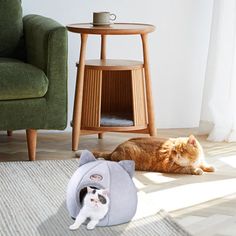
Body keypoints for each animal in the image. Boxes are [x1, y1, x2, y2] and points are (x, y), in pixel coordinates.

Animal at [87, 135, 215, 175]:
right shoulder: (173, 167)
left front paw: (209, 167)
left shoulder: (200, 161)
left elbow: (203, 164)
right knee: (112, 160)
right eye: (174, 151)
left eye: (182, 150)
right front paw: (197, 170)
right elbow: (189, 168)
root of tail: (116, 148)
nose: (177, 155)